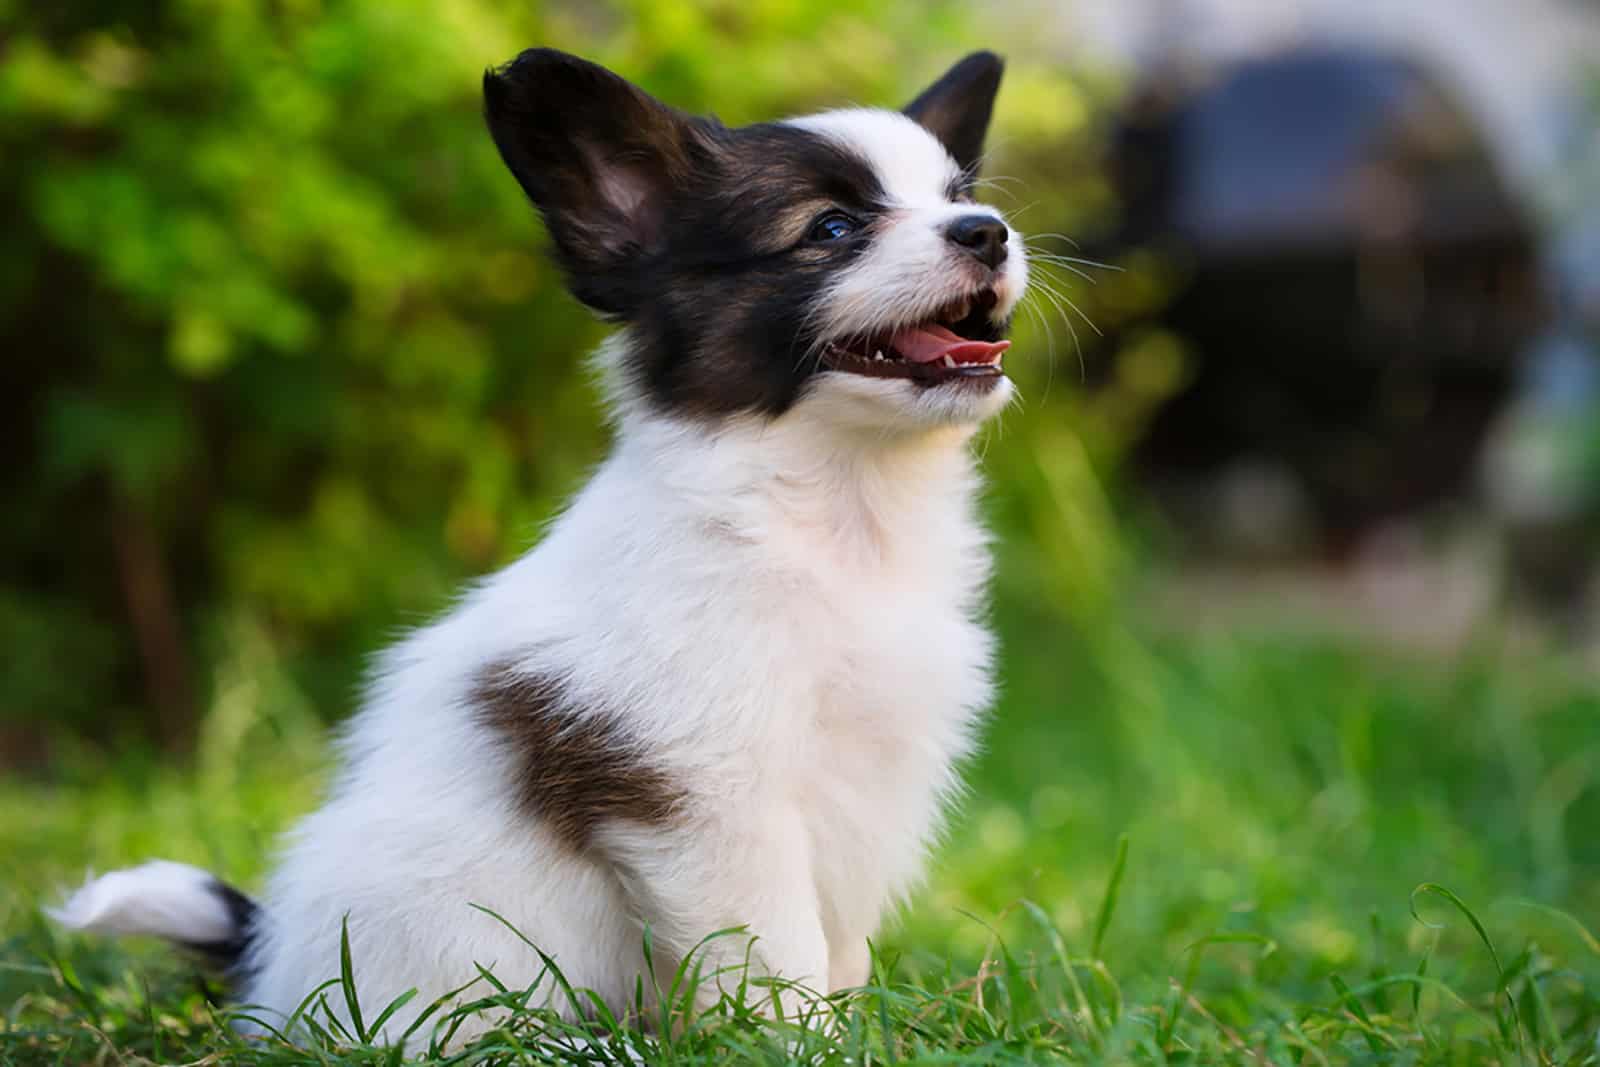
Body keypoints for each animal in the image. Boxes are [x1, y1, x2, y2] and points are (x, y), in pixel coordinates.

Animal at [53, 47, 1024, 1043]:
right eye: (832, 228)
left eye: (958, 197)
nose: (988, 232)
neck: (832, 507)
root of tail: (271, 964)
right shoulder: (711, 794)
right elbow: (775, 950)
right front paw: (802, 1044)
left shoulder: (872, 788)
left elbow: (839, 947)